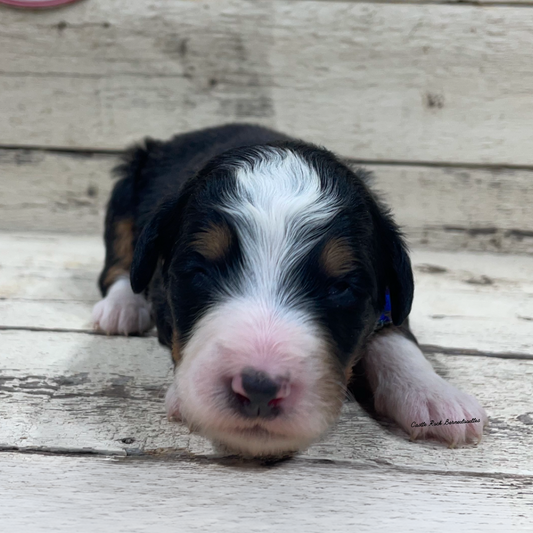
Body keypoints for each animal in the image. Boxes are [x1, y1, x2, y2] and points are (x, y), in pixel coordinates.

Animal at [92, 122, 486, 456]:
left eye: (340, 287)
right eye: (200, 271)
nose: (259, 390)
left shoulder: (387, 296)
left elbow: (395, 333)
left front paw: (434, 396)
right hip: (126, 186)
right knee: (118, 265)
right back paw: (121, 308)